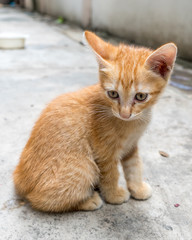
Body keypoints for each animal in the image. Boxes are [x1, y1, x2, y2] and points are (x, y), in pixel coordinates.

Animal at [13, 30, 177, 212]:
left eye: (141, 96)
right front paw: (114, 195)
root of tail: (20, 181)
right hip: (85, 167)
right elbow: (111, 173)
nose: (124, 114)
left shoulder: (131, 145)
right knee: (41, 200)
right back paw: (88, 200)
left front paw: (137, 188)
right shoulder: (104, 151)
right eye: (113, 94)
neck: (133, 123)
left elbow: (134, 166)